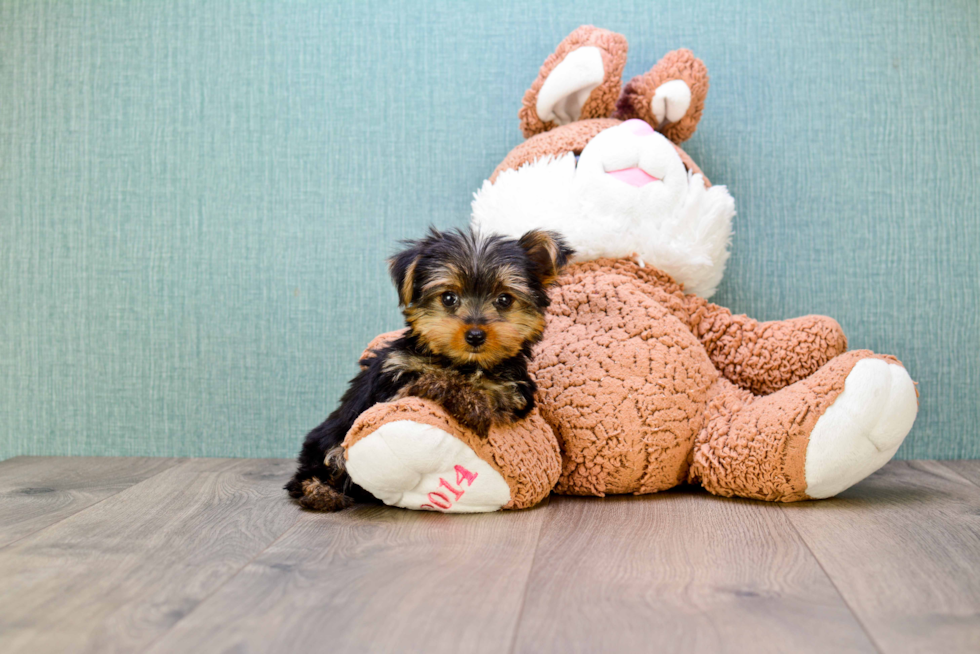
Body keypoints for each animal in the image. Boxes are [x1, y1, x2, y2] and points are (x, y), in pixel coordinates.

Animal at [286, 229, 576, 512]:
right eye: (448, 298)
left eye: (504, 299)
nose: (475, 335)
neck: (462, 362)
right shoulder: (395, 375)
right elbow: (433, 377)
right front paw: (465, 399)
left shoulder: (516, 391)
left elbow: (497, 395)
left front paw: (475, 402)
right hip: (327, 440)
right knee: (317, 468)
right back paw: (320, 494)